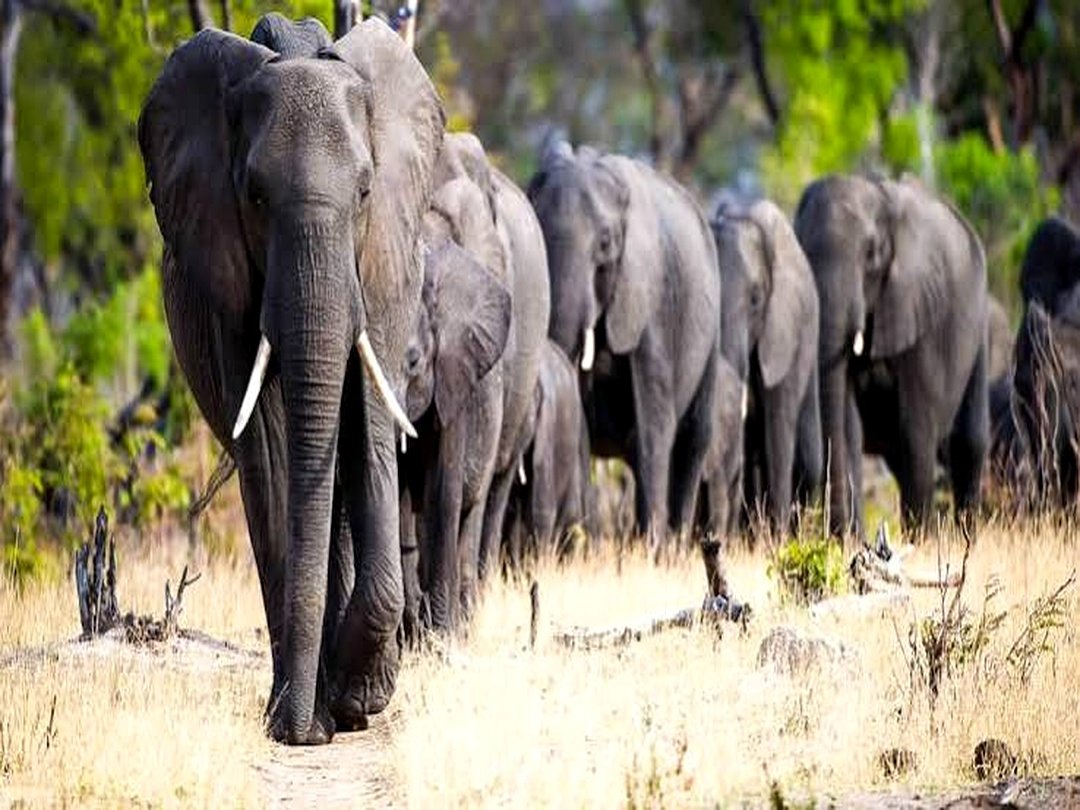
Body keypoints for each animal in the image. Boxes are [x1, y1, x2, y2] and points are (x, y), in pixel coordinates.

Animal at [138, 17, 445, 743]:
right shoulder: (223, 270)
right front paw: (301, 722)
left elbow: (367, 426)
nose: (303, 727)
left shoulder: (384, 263)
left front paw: (358, 699)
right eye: (253, 196)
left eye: (365, 192)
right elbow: (275, 450)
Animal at [398, 241, 511, 638]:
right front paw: (411, 632)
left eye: (413, 362)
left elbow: (444, 493)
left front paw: (440, 637)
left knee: (468, 512)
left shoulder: (455, 381)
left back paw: (463, 627)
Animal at [528, 138, 722, 549]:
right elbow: (581, 421)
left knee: (692, 438)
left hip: (712, 327)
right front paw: (587, 547)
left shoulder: (648, 296)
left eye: (605, 244)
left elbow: (654, 418)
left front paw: (650, 549)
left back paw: (675, 548)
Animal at [794, 175, 989, 537]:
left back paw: (965, 537)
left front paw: (920, 541)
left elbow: (915, 427)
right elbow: (849, 425)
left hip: (979, 320)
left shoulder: (919, 307)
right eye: (800, 246)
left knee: (968, 440)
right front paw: (852, 541)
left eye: (871, 255)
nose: (839, 535)